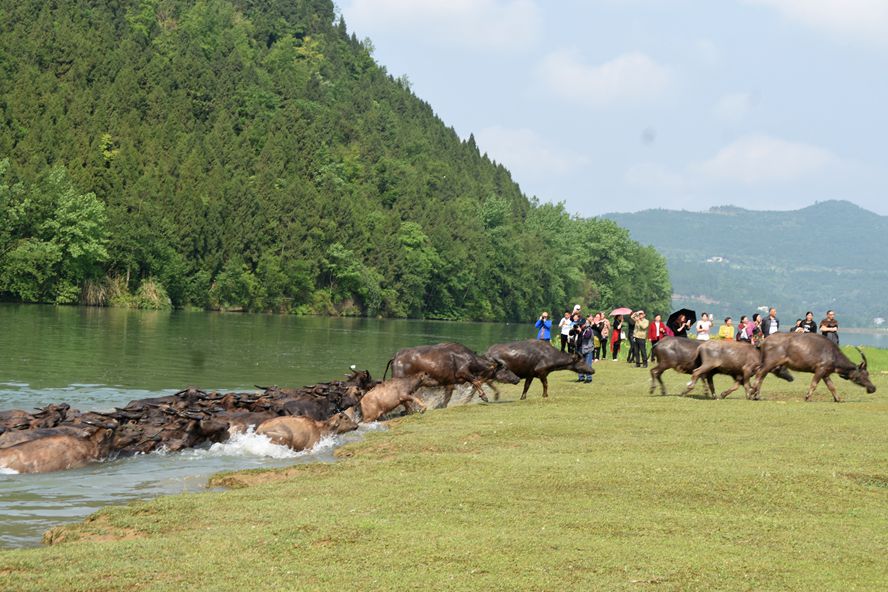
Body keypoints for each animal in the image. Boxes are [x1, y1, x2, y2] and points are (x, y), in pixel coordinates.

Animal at [384, 342, 520, 408]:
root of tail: (396, 357)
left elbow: (447, 397)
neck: (469, 359)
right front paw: (484, 397)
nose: (517, 378)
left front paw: (440, 405)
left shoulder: (449, 383)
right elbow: (475, 381)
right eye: (506, 369)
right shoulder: (463, 373)